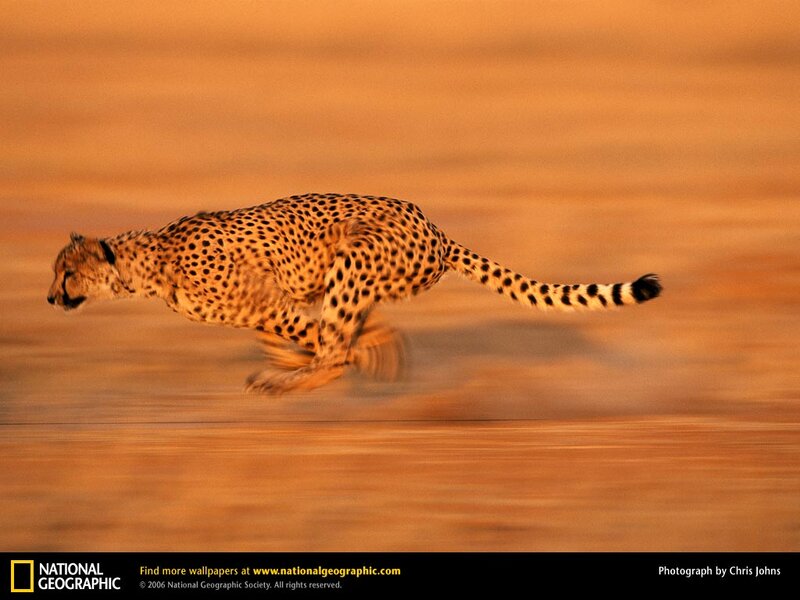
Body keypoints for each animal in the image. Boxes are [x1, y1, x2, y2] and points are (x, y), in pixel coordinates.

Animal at [47, 193, 662, 394]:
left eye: (66, 274)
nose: (51, 299)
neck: (148, 262)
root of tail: (436, 227)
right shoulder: (261, 307)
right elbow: (293, 335)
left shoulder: (266, 301)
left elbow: (319, 337)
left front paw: (364, 351)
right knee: (341, 335)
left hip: (354, 255)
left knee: (336, 347)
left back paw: (288, 382)